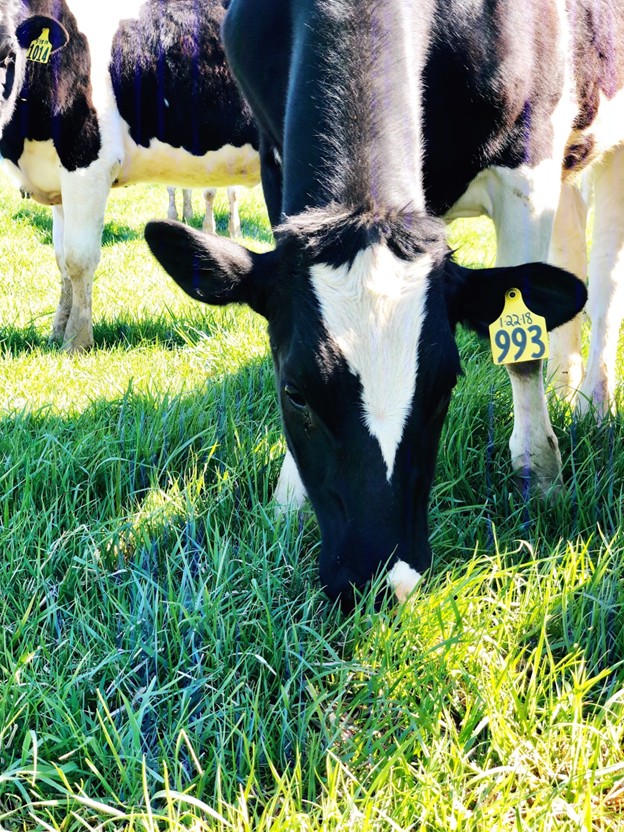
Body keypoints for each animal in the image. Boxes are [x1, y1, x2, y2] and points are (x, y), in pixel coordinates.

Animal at [0, 0, 260, 353]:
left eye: (6, 56)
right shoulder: (60, 176)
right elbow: (62, 260)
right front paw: (56, 333)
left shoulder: (88, 164)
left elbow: (79, 259)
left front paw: (77, 342)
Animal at [144, 0, 600, 607]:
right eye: (294, 391)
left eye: (446, 384)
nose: (385, 580)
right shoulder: (271, 155)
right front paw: (288, 497)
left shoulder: (529, 157)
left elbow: (524, 355)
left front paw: (541, 477)